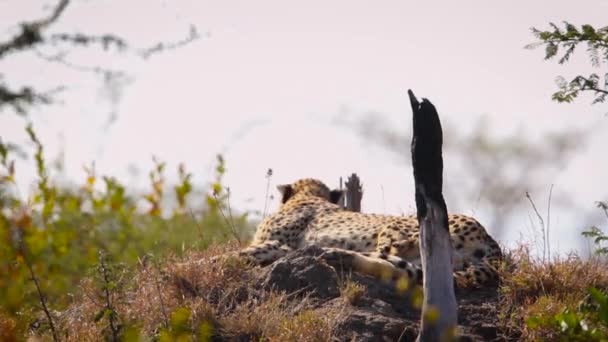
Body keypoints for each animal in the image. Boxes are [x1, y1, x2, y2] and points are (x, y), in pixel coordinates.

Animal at [235, 178, 502, 288]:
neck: (308, 196)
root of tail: (491, 240)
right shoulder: (278, 246)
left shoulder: (278, 244)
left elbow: (241, 253)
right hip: (433, 263)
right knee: (402, 270)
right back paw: (339, 256)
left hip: (403, 227)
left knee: (388, 252)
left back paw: (334, 254)